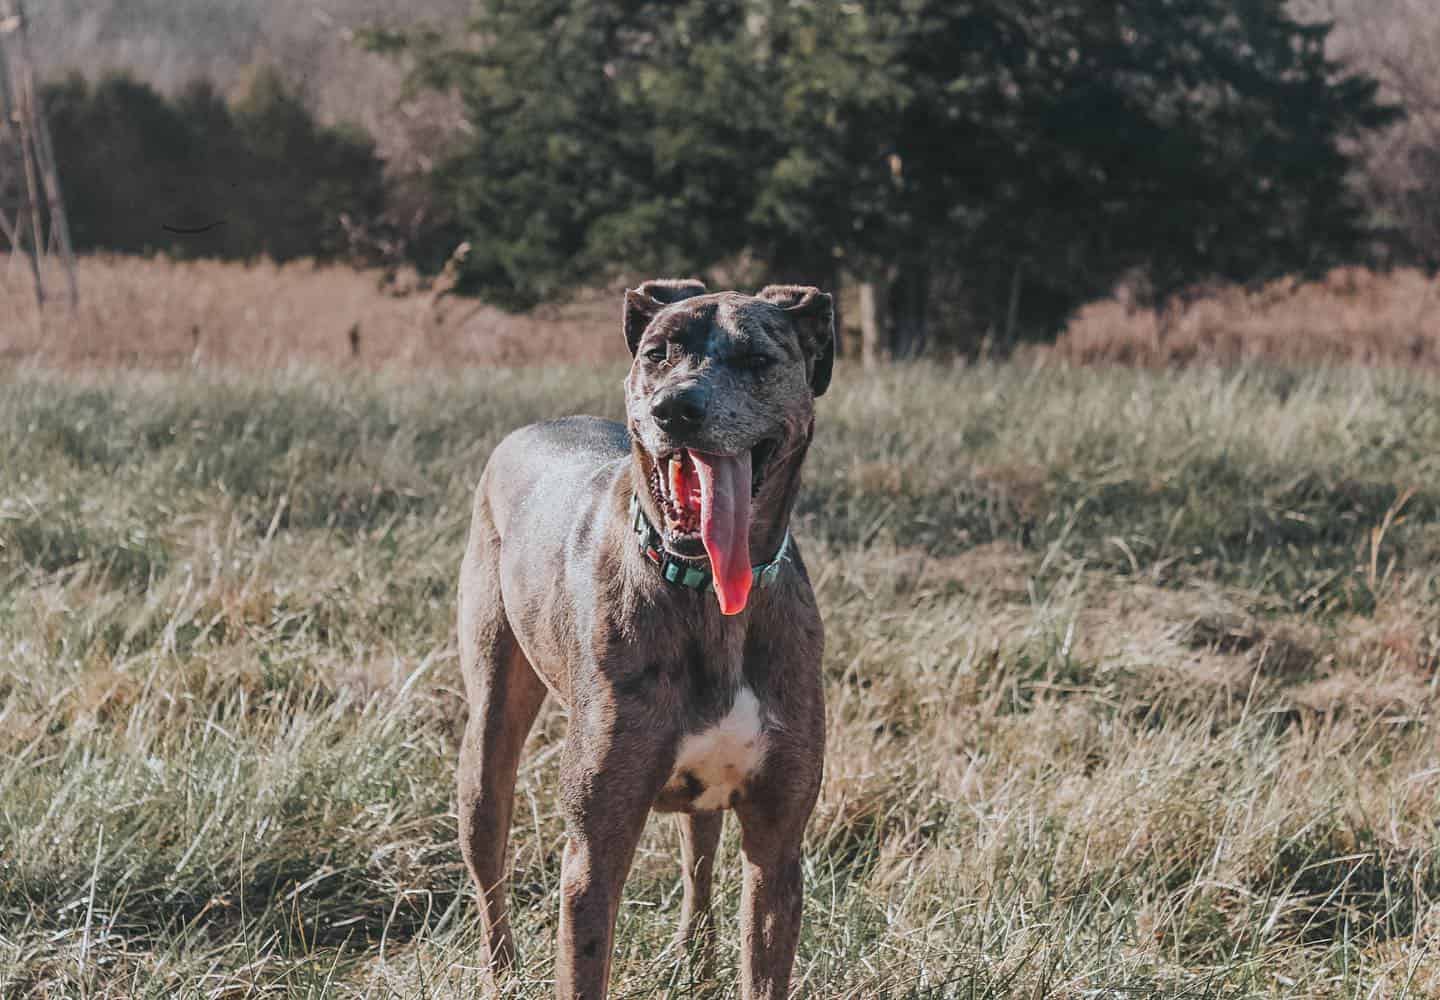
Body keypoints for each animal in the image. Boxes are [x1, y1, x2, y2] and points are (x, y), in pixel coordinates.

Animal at [455, 278, 840, 997]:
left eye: (757, 360)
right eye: (657, 352)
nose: (676, 409)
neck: (709, 591)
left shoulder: (777, 845)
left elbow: (763, 958)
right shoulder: (594, 849)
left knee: (700, 856)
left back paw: (695, 958)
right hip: (488, 727)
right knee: (487, 846)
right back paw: (502, 970)